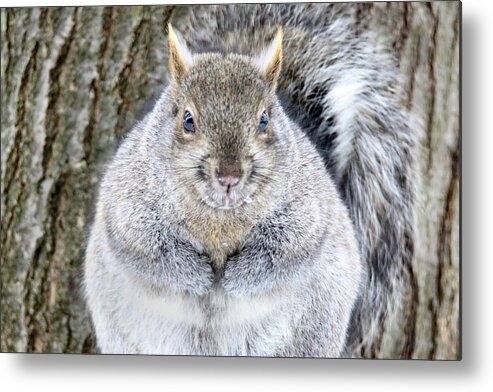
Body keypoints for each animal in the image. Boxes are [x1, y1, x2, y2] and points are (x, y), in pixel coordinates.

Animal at [83, 3, 416, 358]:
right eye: (188, 120)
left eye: (264, 120)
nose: (229, 175)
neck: (219, 220)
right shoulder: (127, 205)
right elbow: (151, 248)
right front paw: (195, 274)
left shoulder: (309, 212)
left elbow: (283, 251)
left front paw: (237, 278)